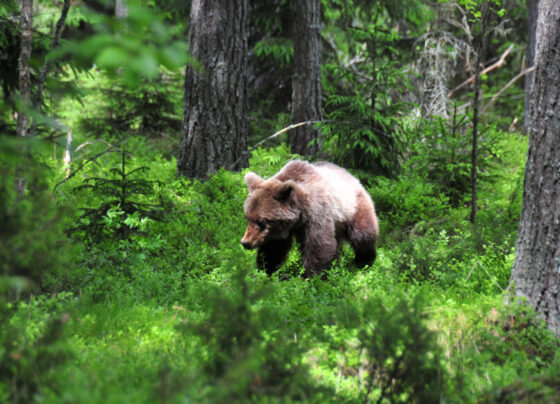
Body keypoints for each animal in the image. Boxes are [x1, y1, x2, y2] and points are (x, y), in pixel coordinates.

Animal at [242, 160, 380, 278]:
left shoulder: (317, 213)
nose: (245, 242)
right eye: (247, 217)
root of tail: (353, 177)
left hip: (353, 208)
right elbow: (273, 249)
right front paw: (264, 271)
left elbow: (318, 245)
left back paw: (364, 261)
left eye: (261, 221)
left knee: (362, 236)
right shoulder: (279, 231)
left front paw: (311, 277)